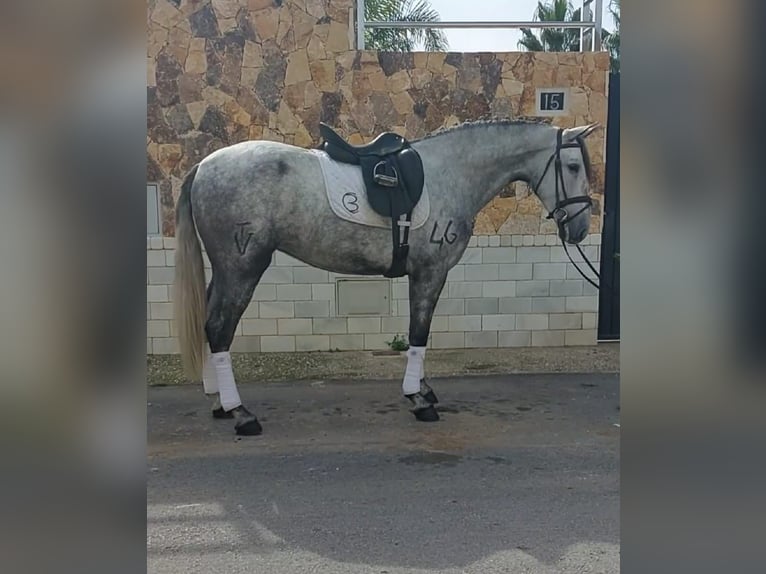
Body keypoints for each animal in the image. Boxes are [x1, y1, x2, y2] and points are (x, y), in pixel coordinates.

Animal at [174, 120, 600, 436]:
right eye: (573, 167)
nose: (580, 228)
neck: (451, 172)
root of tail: (203, 167)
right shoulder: (430, 272)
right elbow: (419, 333)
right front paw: (418, 399)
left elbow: (418, 334)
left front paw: (424, 390)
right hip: (243, 267)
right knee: (219, 328)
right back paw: (241, 413)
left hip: (227, 270)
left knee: (209, 323)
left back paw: (220, 404)